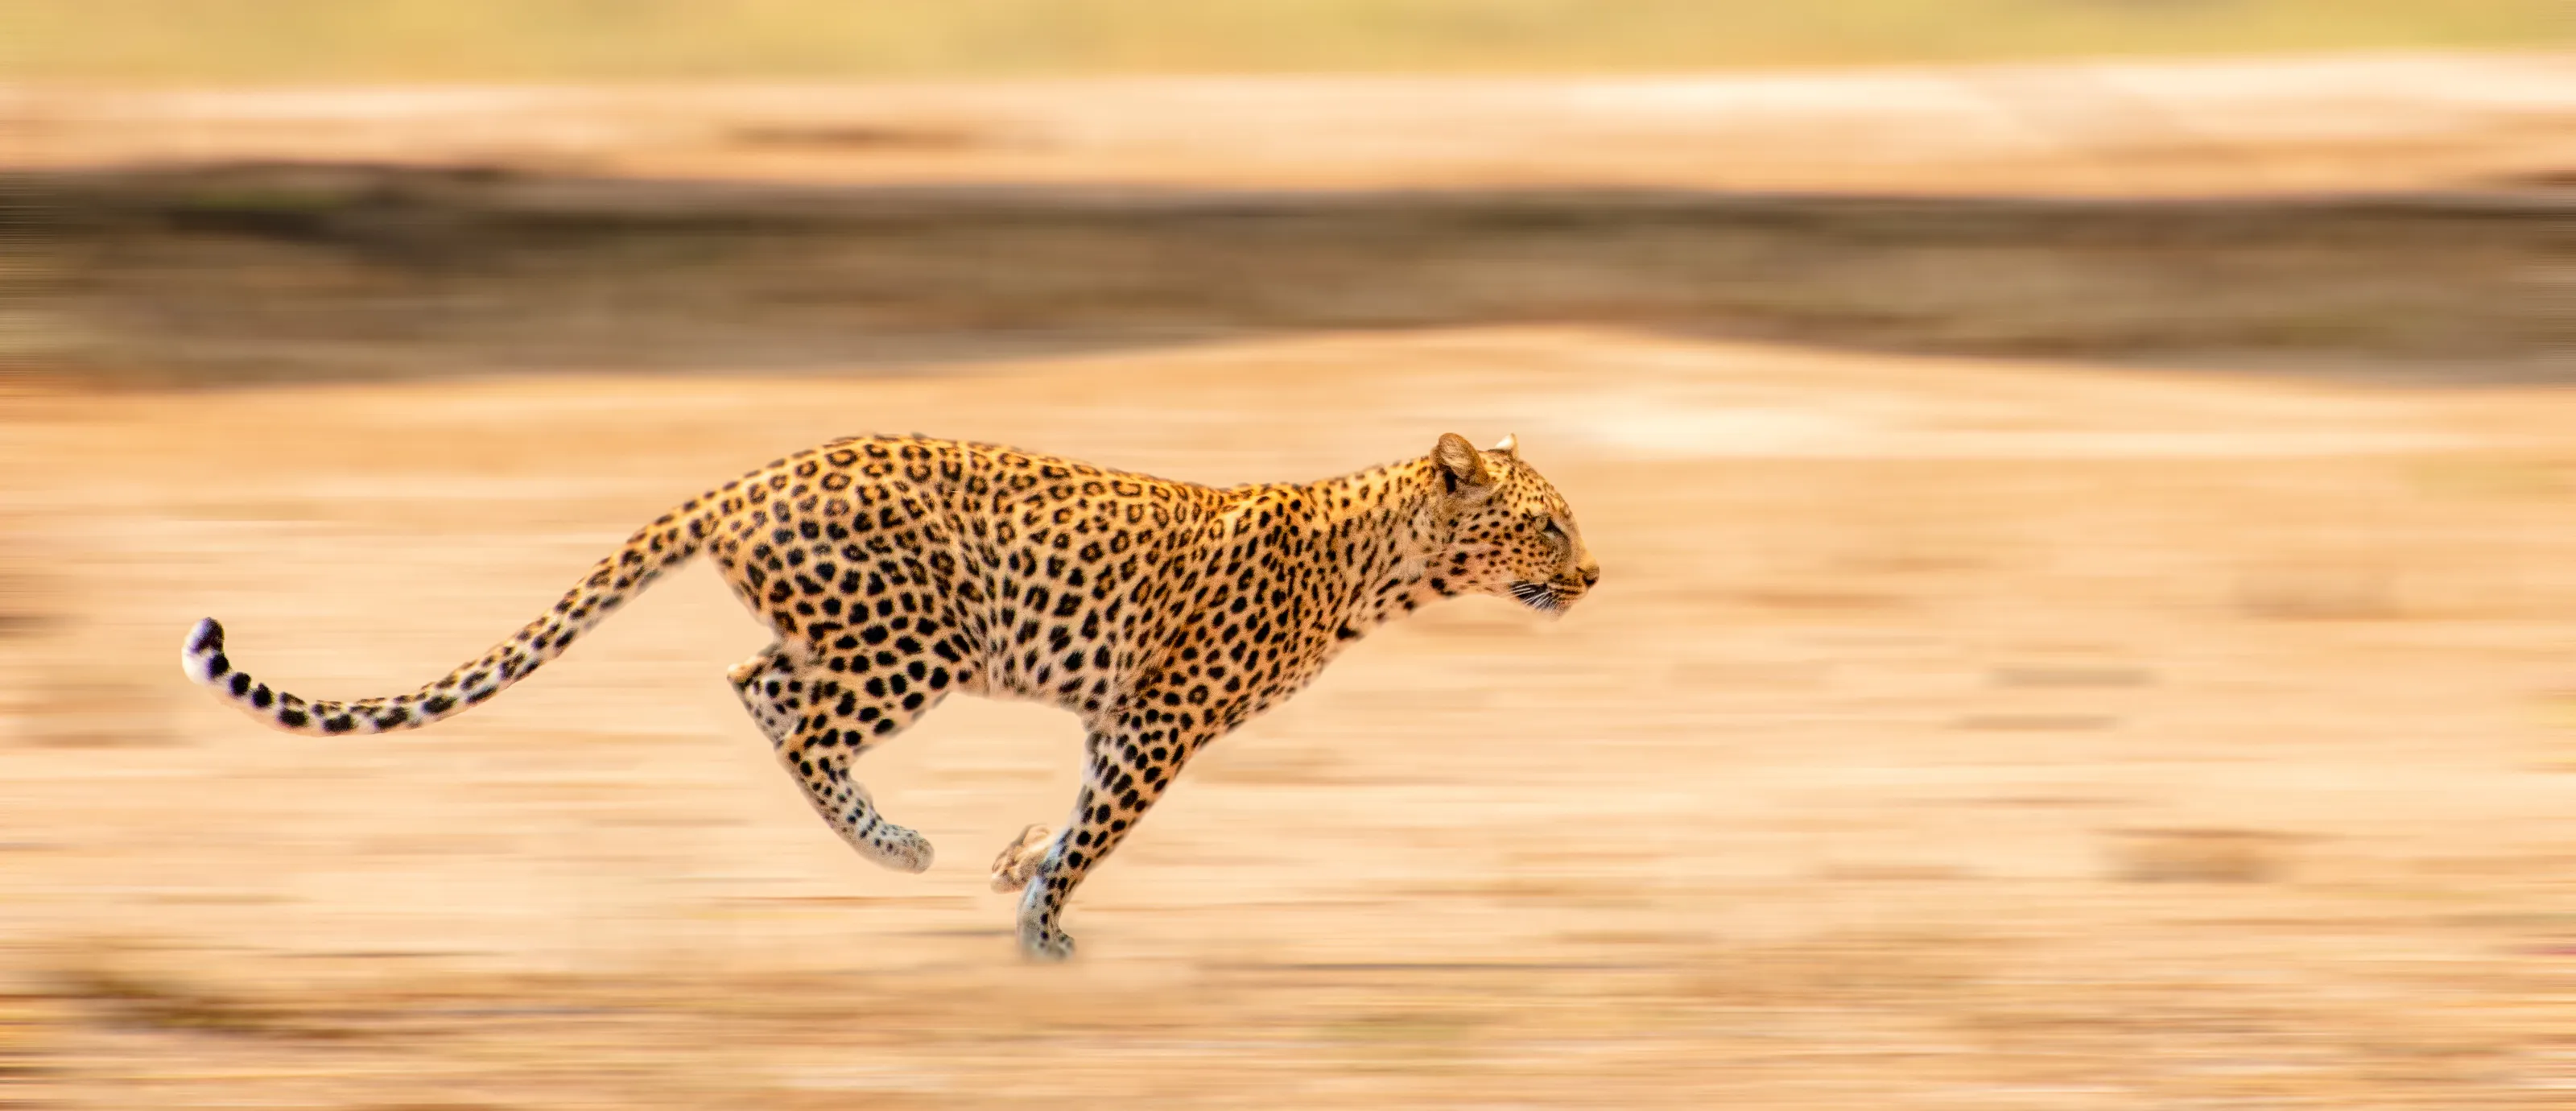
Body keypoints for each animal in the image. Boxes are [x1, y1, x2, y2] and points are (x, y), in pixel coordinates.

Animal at [181, 431, 1600, 960]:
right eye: (1545, 524)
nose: (1593, 575)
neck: (1379, 565)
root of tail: (752, 476)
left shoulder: (1120, 722)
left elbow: (1073, 816)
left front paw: (1019, 875)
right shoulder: (1158, 726)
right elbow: (1097, 835)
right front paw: (1041, 925)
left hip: (854, 637)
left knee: (754, 685)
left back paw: (892, 843)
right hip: (915, 643)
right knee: (800, 725)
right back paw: (898, 847)